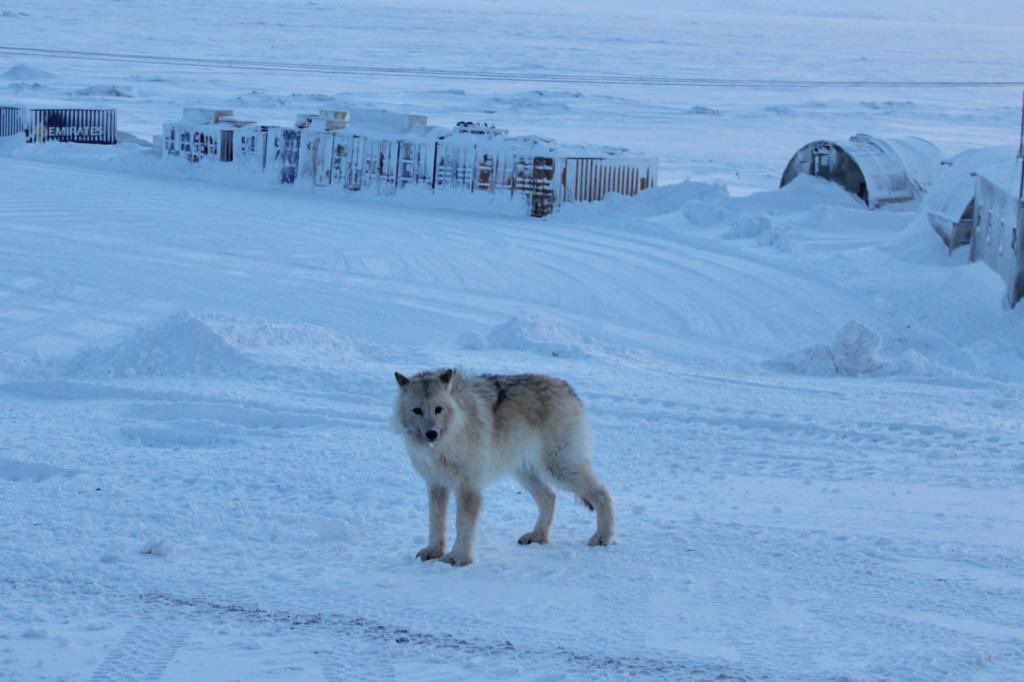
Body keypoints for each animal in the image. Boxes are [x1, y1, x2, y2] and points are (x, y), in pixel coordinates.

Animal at [392, 368, 615, 566]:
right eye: (417, 410)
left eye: (438, 409)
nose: (432, 433)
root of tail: (567, 388)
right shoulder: (436, 484)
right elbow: (435, 521)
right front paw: (434, 550)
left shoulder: (468, 488)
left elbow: (462, 525)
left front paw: (459, 557)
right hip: (525, 473)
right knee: (550, 497)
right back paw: (538, 536)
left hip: (561, 468)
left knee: (602, 493)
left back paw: (603, 537)